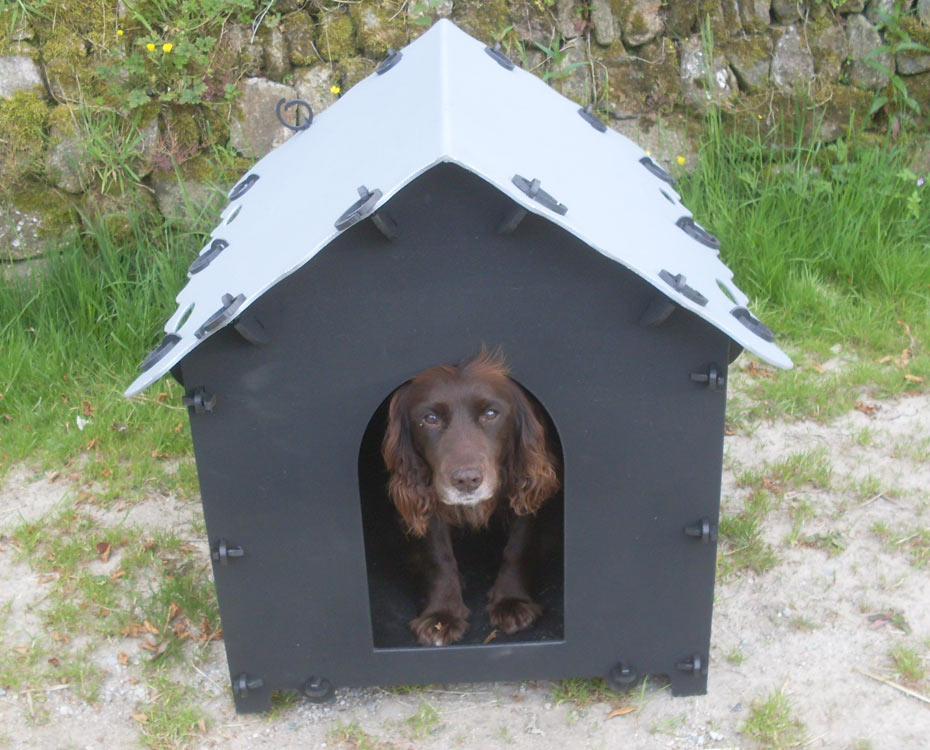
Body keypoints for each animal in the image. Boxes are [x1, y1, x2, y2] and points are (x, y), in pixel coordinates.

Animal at [378, 352, 556, 648]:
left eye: (491, 413)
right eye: (430, 418)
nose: (467, 480)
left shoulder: (527, 489)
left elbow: (517, 546)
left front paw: (511, 602)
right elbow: (439, 556)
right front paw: (442, 614)